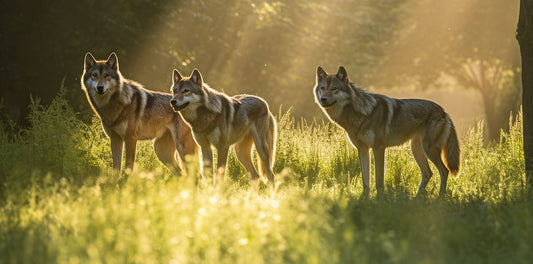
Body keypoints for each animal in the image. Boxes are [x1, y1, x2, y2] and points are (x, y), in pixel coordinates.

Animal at [314, 66, 460, 195]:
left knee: (444, 171)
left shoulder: (378, 148)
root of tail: (443, 111)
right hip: (417, 150)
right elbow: (366, 181)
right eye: (322, 88)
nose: (323, 99)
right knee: (428, 173)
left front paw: (380, 200)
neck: (360, 112)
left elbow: (379, 180)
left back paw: (440, 198)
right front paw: (364, 199)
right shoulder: (362, 149)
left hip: (429, 149)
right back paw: (417, 198)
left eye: (334, 88)